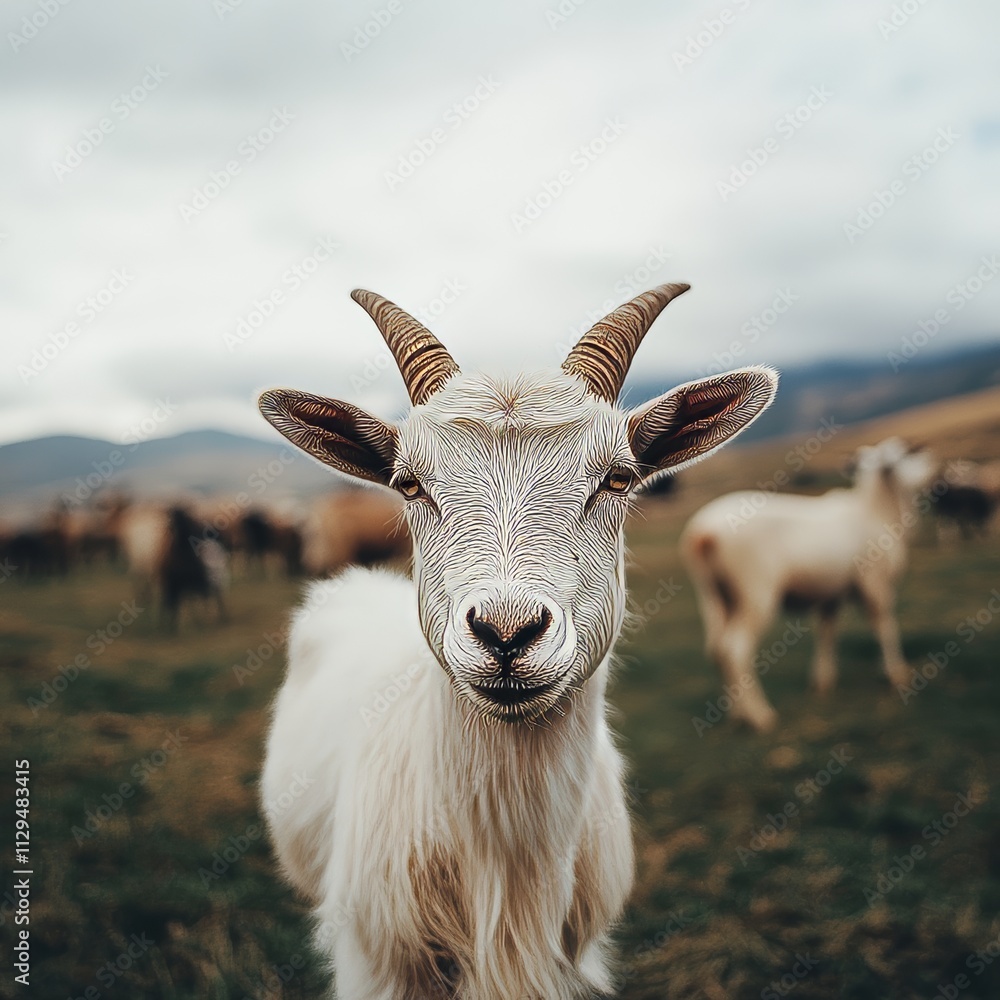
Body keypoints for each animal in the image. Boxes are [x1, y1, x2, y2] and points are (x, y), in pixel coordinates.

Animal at [681, 437, 935, 732]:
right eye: (906, 456)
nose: (932, 464)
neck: (876, 512)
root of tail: (703, 533)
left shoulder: (830, 594)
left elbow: (827, 631)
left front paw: (823, 681)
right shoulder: (874, 582)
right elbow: (885, 626)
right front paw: (897, 674)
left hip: (714, 595)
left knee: (716, 649)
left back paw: (736, 713)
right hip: (755, 592)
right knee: (735, 650)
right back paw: (759, 716)